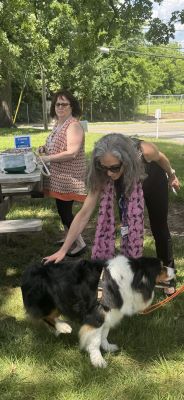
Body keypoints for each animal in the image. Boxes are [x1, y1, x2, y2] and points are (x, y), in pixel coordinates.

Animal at [21, 256, 174, 368]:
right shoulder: (96, 315)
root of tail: (28, 270)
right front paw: (98, 360)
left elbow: (104, 334)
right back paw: (63, 327)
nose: (175, 270)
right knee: (44, 315)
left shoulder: (108, 313)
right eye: (161, 268)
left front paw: (107, 347)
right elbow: (94, 340)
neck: (132, 278)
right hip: (48, 300)